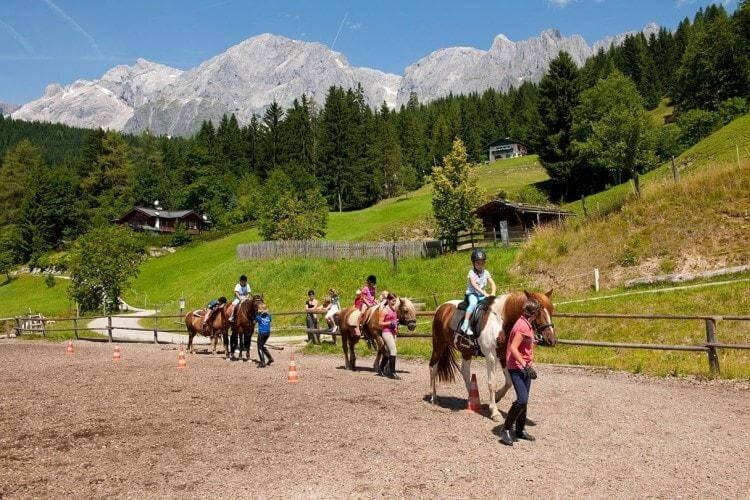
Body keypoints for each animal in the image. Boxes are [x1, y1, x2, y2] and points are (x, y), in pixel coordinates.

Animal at [428, 291, 556, 421]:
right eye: (538, 312)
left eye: (551, 310)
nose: (551, 340)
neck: (501, 322)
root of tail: (441, 308)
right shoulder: (491, 357)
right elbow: (492, 383)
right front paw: (495, 412)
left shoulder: (503, 356)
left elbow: (509, 382)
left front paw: (498, 397)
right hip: (439, 345)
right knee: (433, 368)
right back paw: (434, 397)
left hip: (466, 351)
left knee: (465, 372)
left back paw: (472, 399)